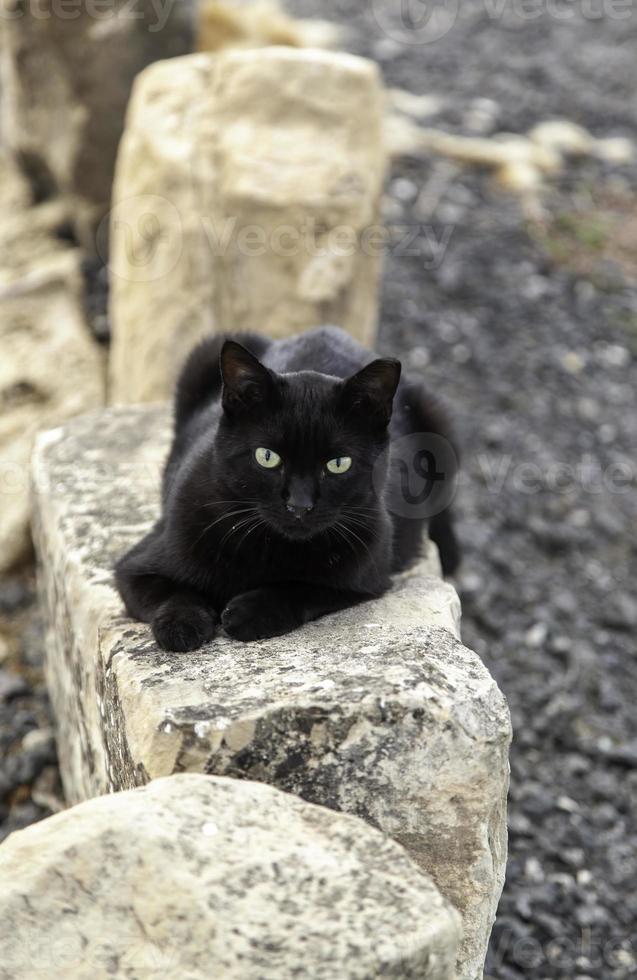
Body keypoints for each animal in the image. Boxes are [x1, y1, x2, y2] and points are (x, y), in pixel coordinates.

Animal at [114, 326, 460, 656]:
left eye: (338, 463)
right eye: (267, 457)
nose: (300, 505)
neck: (267, 545)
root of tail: (327, 330)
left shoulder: (364, 577)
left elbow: (304, 588)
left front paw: (250, 612)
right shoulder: (135, 566)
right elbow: (174, 593)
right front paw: (181, 625)